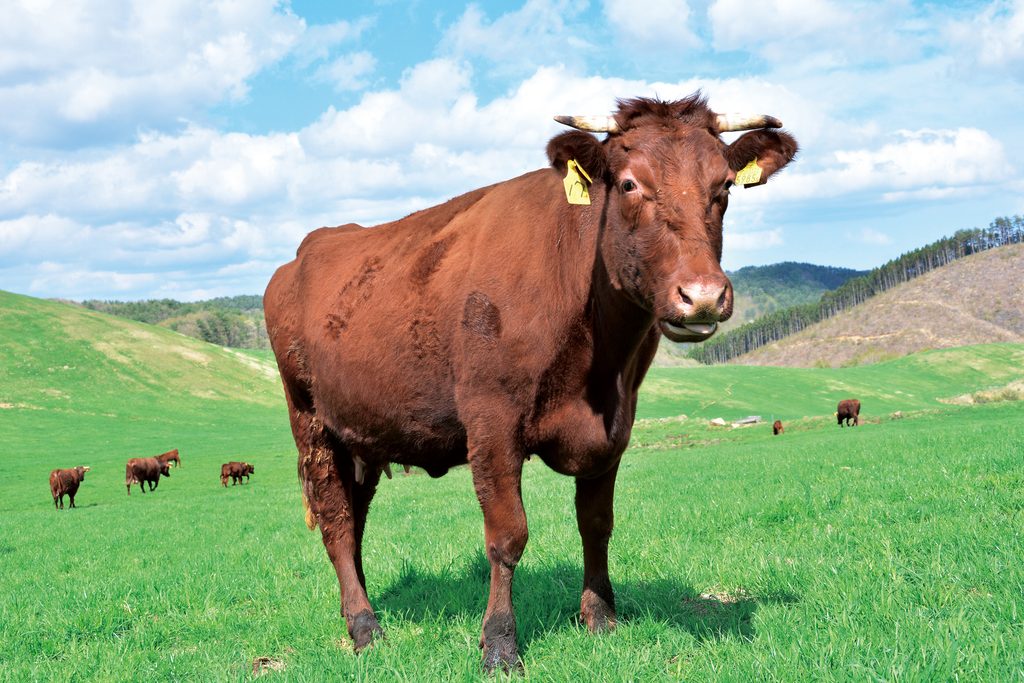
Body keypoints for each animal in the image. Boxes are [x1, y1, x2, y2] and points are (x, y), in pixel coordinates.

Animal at [264, 93, 797, 671]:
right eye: (629, 184)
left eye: (724, 187)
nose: (701, 296)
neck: (597, 368)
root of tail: (308, 248)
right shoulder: (492, 423)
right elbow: (507, 535)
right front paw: (499, 644)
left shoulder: (615, 428)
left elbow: (597, 523)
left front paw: (600, 617)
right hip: (311, 422)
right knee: (337, 521)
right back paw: (365, 628)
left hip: (361, 434)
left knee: (355, 519)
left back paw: (357, 610)